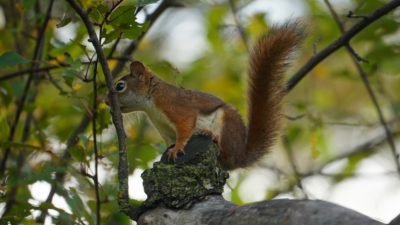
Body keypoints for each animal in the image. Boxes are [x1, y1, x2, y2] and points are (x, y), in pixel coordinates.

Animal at [111, 23, 304, 171]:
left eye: (120, 86)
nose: (107, 101)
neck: (152, 102)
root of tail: (240, 157)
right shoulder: (164, 129)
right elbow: (170, 141)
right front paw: (168, 151)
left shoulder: (175, 106)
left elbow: (185, 128)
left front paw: (177, 148)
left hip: (226, 125)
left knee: (224, 152)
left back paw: (211, 135)